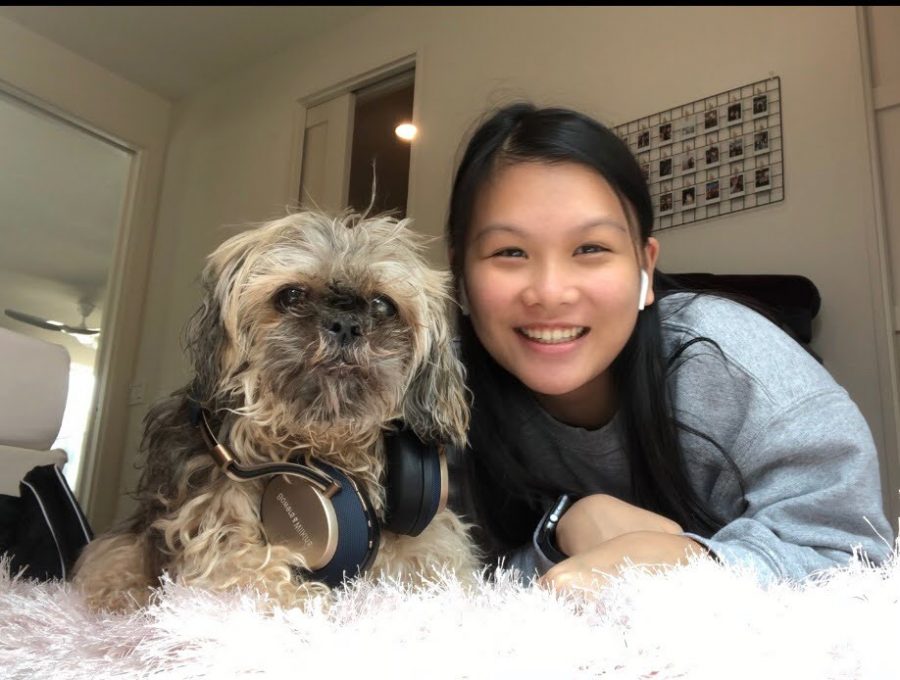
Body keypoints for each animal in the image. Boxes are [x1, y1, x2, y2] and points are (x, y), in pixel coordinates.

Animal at [72, 209, 478, 612]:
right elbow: (252, 571)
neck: (315, 444)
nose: (345, 324)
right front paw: (305, 601)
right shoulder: (216, 535)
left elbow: (435, 555)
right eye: (291, 295)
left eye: (382, 304)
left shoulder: (424, 533)